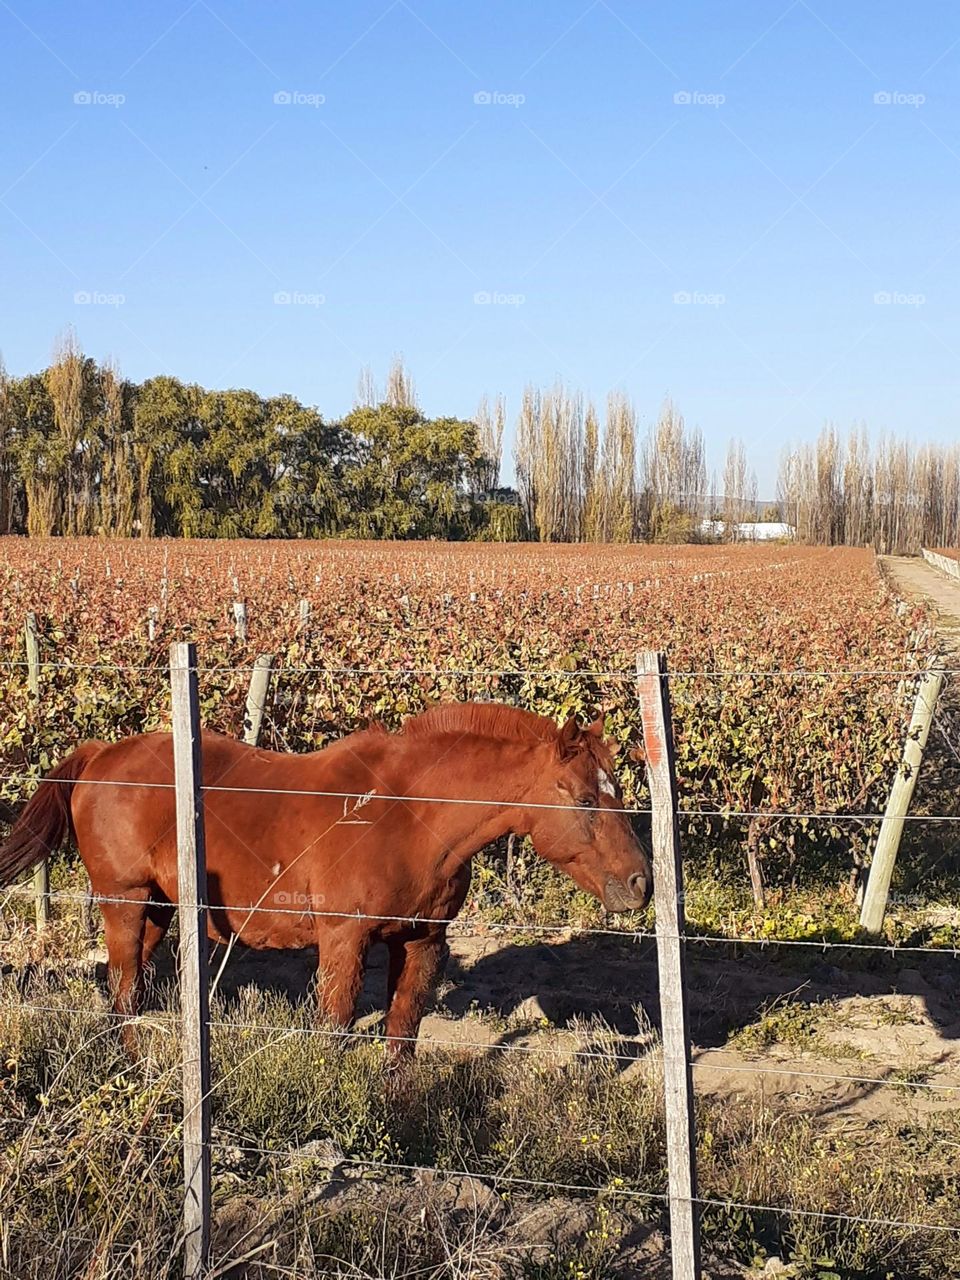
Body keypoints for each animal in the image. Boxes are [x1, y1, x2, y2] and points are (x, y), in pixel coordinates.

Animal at [0, 706, 655, 1054]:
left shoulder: (422, 943)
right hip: (125, 902)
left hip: (159, 909)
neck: (410, 813)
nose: (640, 883)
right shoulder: (343, 941)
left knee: (127, 992)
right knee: (124, 989)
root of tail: (101, 754)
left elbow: (401, 1037)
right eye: (582, 798)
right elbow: (334, 1033)